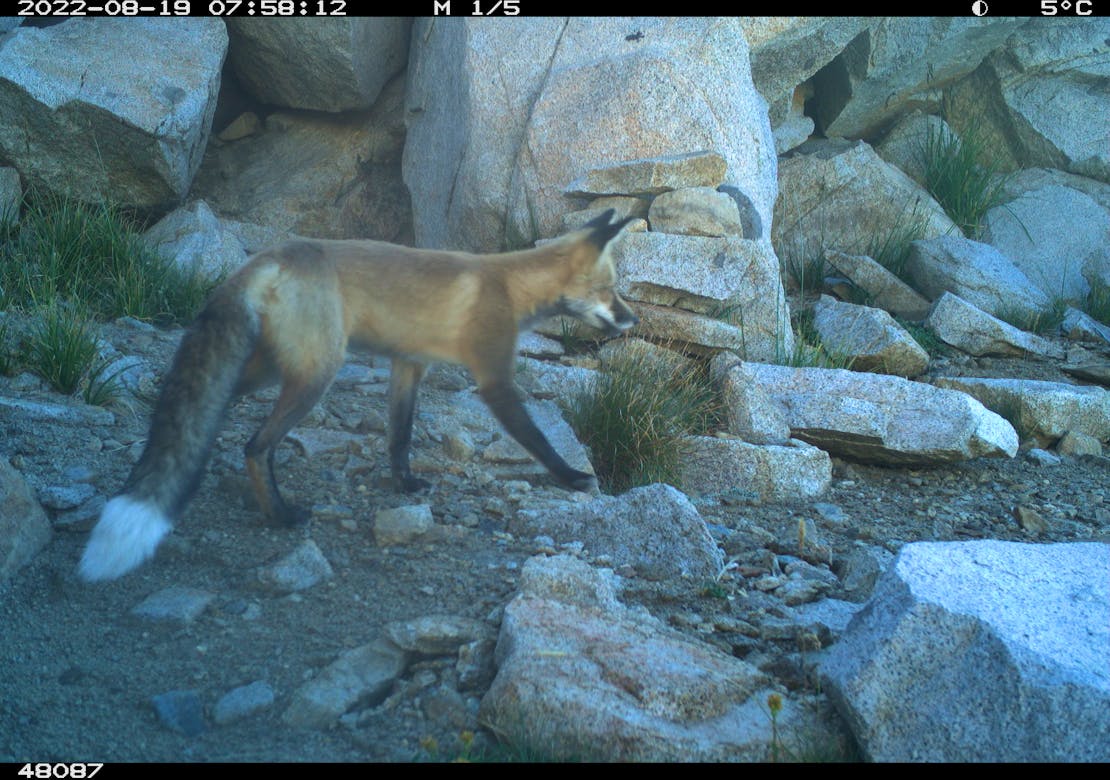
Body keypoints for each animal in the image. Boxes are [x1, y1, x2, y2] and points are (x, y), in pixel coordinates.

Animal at [77, 209, 638, 582]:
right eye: (611, 291)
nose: (633, 319)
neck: (509, 285)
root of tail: (271, 256)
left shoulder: (409, 363)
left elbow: (399, 436)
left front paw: (405, 484)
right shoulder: (493, 379)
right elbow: (537, 440)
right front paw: (572, 477)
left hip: (266, 368)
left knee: (200, 408)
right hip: (316, 374)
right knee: (256, 445)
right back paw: (280, 515)